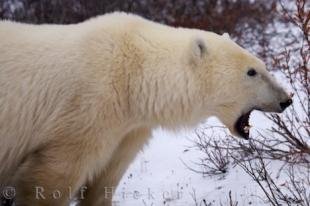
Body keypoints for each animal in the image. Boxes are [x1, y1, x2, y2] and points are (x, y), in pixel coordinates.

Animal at [0, 12, 294, 205]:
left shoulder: (128, 127)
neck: (133, 75)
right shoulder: (84, 111)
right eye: (251, 71)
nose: (286, 99)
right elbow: (50, 180)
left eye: (262, 65)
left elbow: (103, 182)